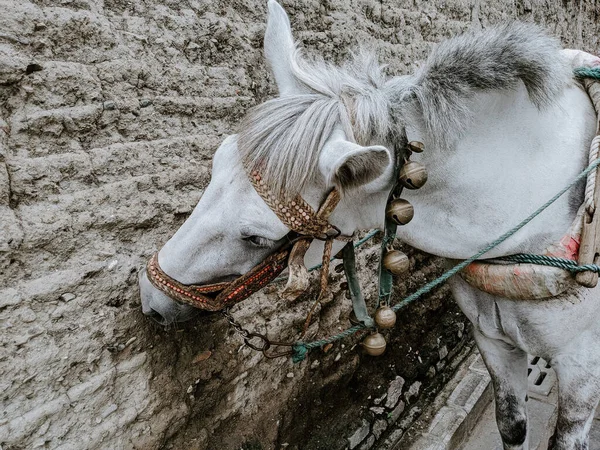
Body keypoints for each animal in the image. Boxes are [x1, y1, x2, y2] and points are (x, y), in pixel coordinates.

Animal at [139, 1, 600, 448]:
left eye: (254, 236)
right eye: (217, 160)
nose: (150, 298)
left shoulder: (582, 368)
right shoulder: (493, 342)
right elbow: (512, 426)